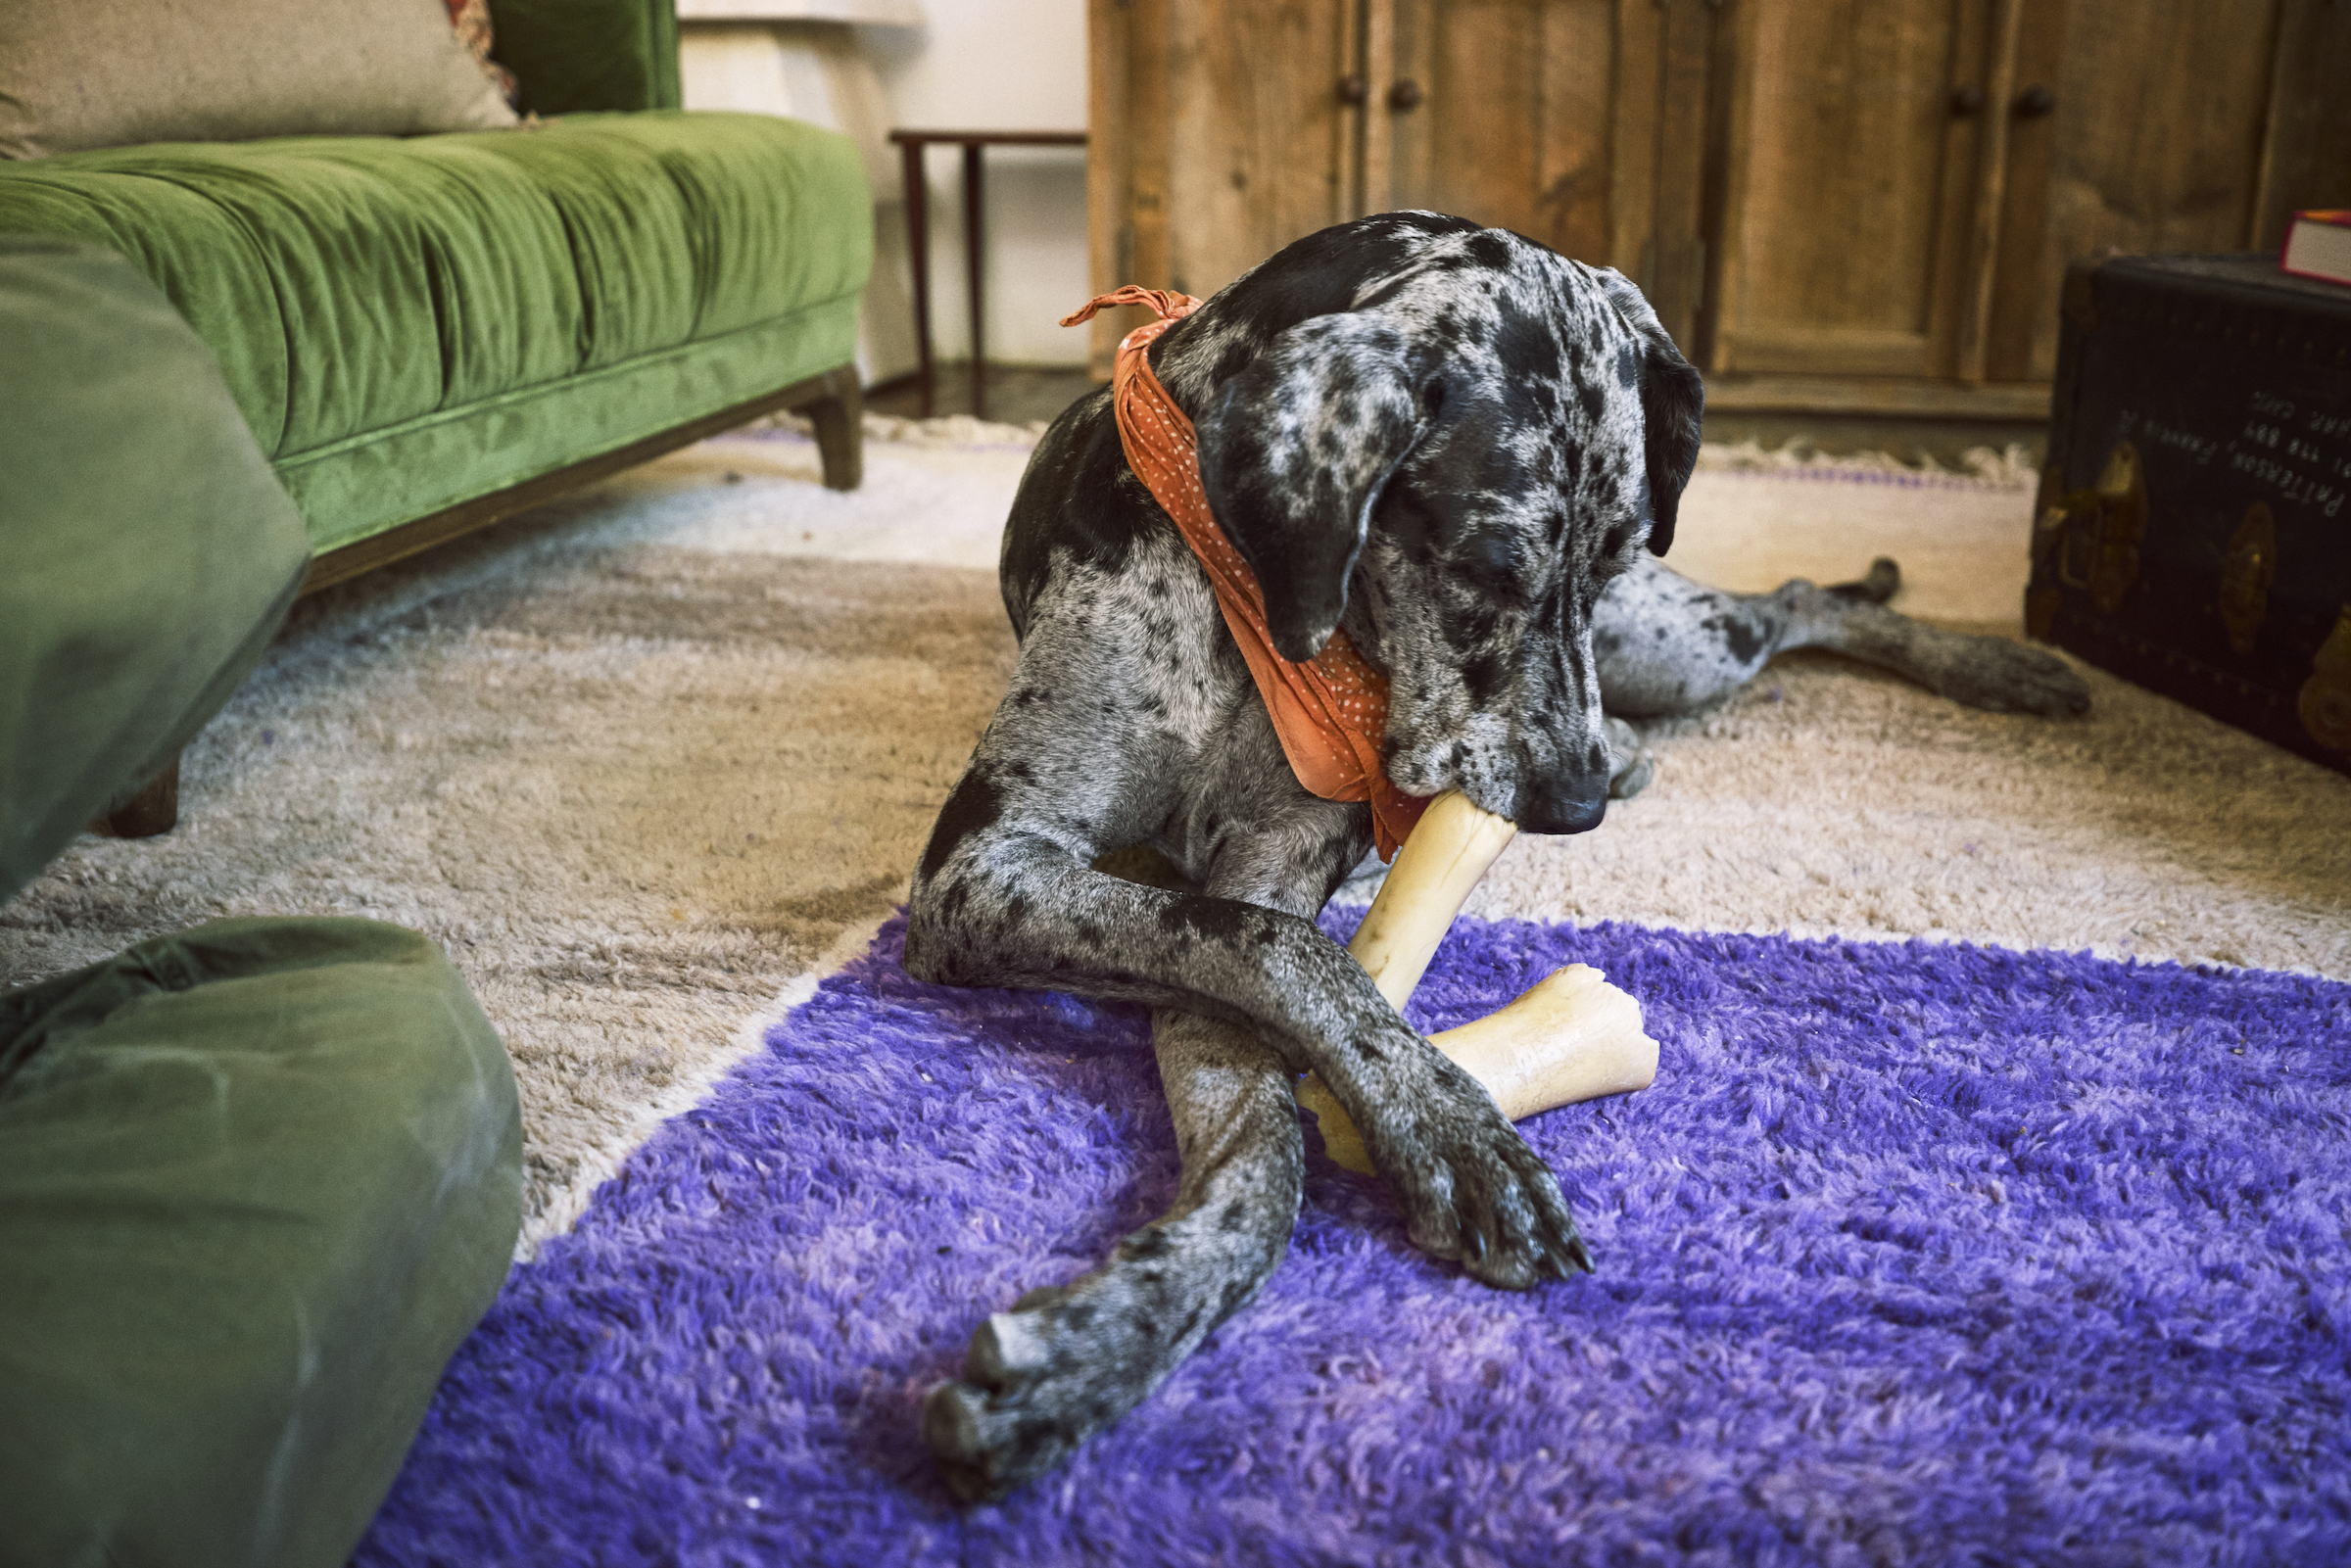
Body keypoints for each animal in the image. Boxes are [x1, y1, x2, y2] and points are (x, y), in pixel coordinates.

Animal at [902, 206, 2096, 1495]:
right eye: (1484, 567)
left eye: (1612, 551)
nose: (1570, 809)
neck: (1251, 605)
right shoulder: (997, 869)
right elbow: (1279, 1015)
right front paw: (1104, 1345)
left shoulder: (1250, 866)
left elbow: (1282, 1018)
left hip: (1675, 641)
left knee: (1795, 599)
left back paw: (1995, 664)